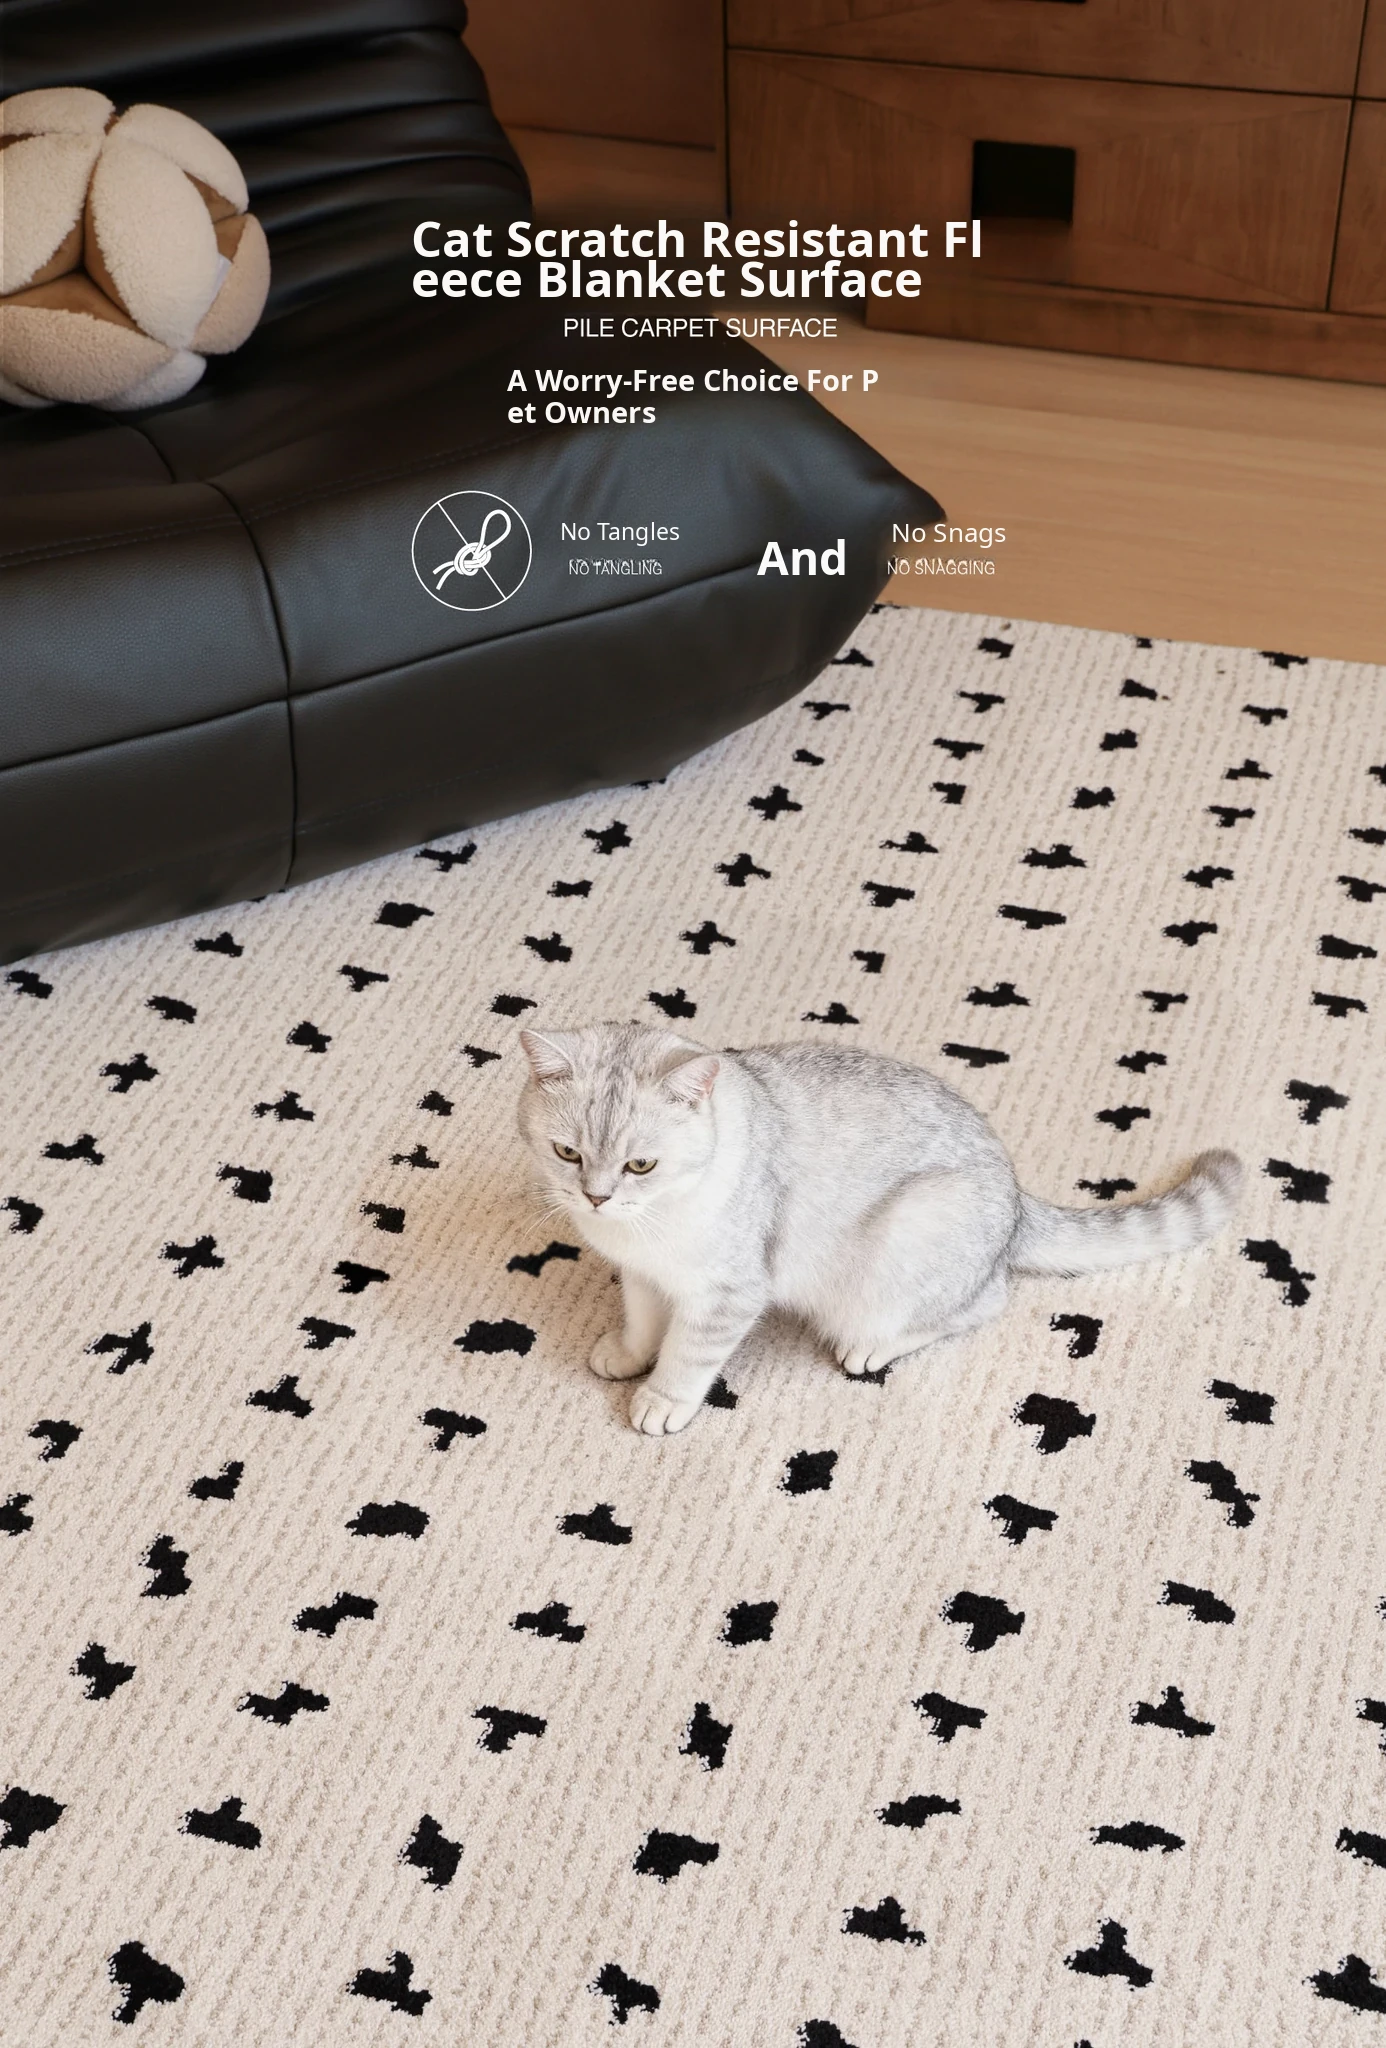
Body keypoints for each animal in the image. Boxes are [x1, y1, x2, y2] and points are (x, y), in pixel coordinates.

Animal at [518, 1021, 1242, 1437]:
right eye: (567, 1153)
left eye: (641, 1164)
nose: (596, 1197)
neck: (651, 1225)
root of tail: (1015, 1195)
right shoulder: (644, 1277)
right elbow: (644, 1327)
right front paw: (627, 1355)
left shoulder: (726, 1293)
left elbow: (687, 1353)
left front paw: (662, 1399)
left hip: (907, 1238)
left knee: (983, 1301)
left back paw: (875, 1347)